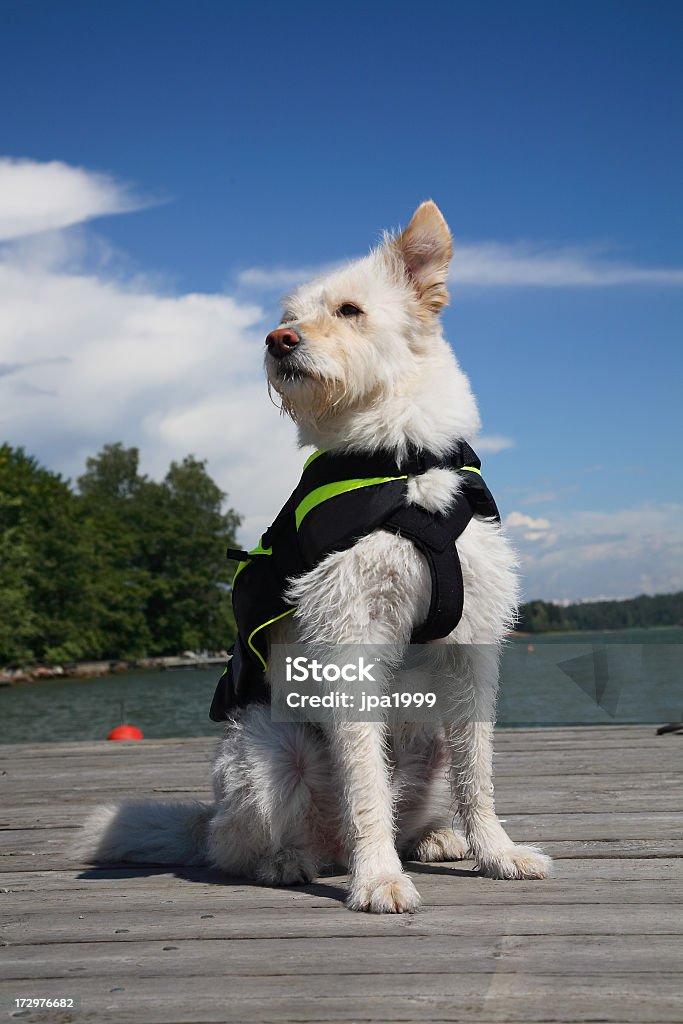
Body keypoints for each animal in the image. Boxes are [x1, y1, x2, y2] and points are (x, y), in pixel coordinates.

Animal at [81, 199, 548, 913]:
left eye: (350, 310)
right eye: (288, 315)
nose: (277, 341)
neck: (398, 459)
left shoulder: (472, 645)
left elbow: (479, 773)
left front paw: (496, 853)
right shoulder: (349, 634)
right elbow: (366, 786)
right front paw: (378, 878)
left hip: (427, 744)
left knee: (409, 807)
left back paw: (435, 838)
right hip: (270, 751)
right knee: (233, 848)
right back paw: (287, 862)